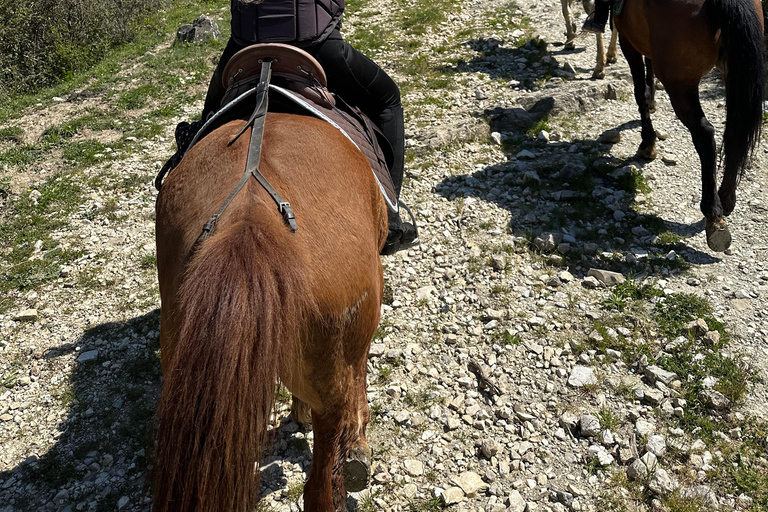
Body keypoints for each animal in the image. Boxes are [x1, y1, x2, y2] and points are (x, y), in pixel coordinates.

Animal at [614, 0, 764, 251]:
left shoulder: (627, 39)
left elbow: (640, 91)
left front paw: (647, 144)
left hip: (680, 84)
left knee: (705, 134)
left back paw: (713, 214)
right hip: (734, 74)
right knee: (735, 132)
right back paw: (726, 199)